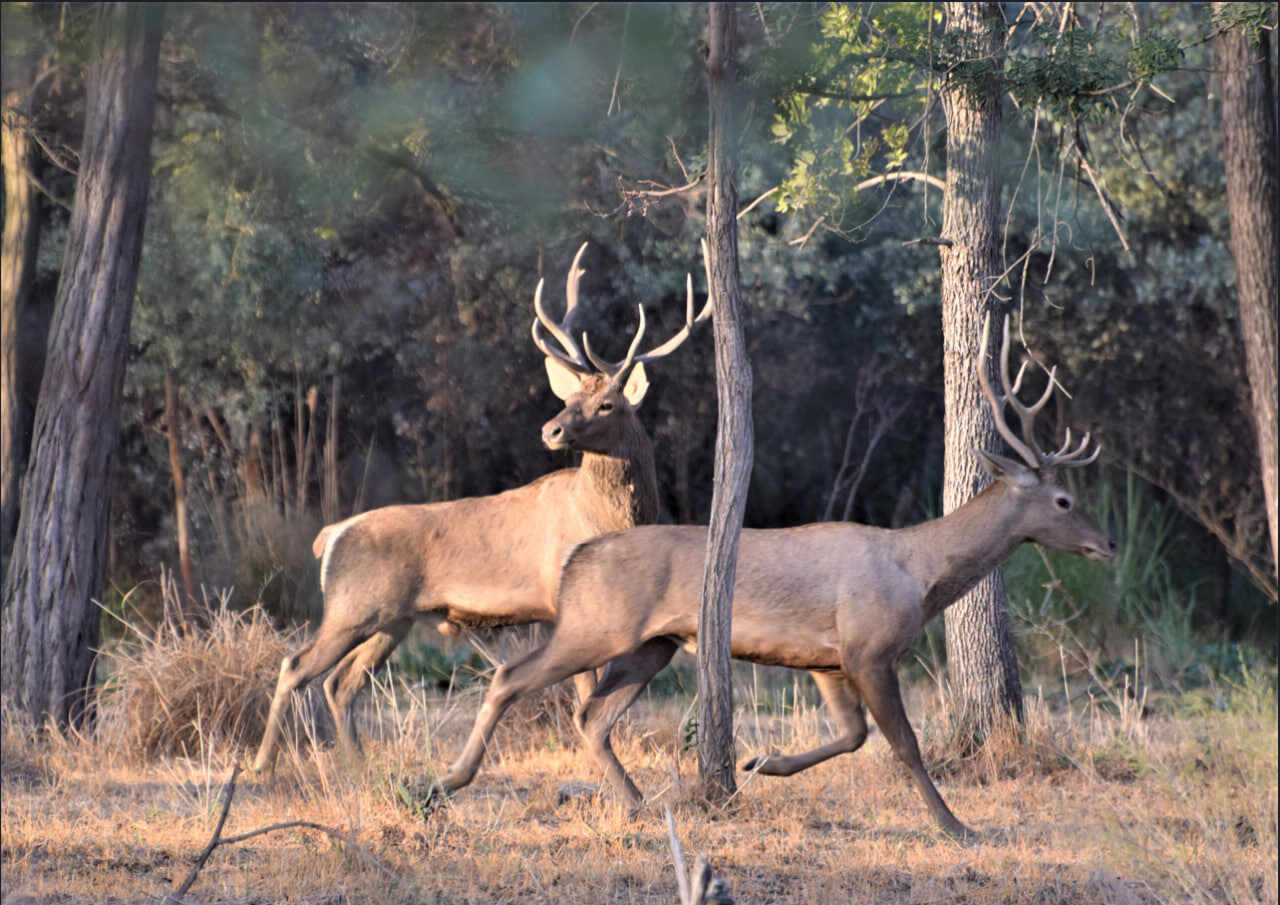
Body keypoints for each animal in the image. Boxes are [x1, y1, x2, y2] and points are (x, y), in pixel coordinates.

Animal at [249, 244, 711, 773]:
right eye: (571, 395)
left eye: (608, 404)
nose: (550, 429)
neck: (608, 516)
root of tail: (332, 534)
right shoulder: (564, 600)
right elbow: (584, 689)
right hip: (352, 607)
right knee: (296, 665)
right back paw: (262, 765)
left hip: (393, 619)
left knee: (341, 682)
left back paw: (359, 764)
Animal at [424, 314, 1116, 839]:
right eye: (1063, 501)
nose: (1108, 543)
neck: (920, 577)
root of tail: (579, 557)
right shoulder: (869, 647)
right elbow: (904, 744)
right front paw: (956, 826)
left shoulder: (828, 659)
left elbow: (852, 736)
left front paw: (763, 762)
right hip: (596, 625)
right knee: (515, 679)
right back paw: (447, 782)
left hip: (652, 644)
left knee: (592, 715)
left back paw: (639, 803)